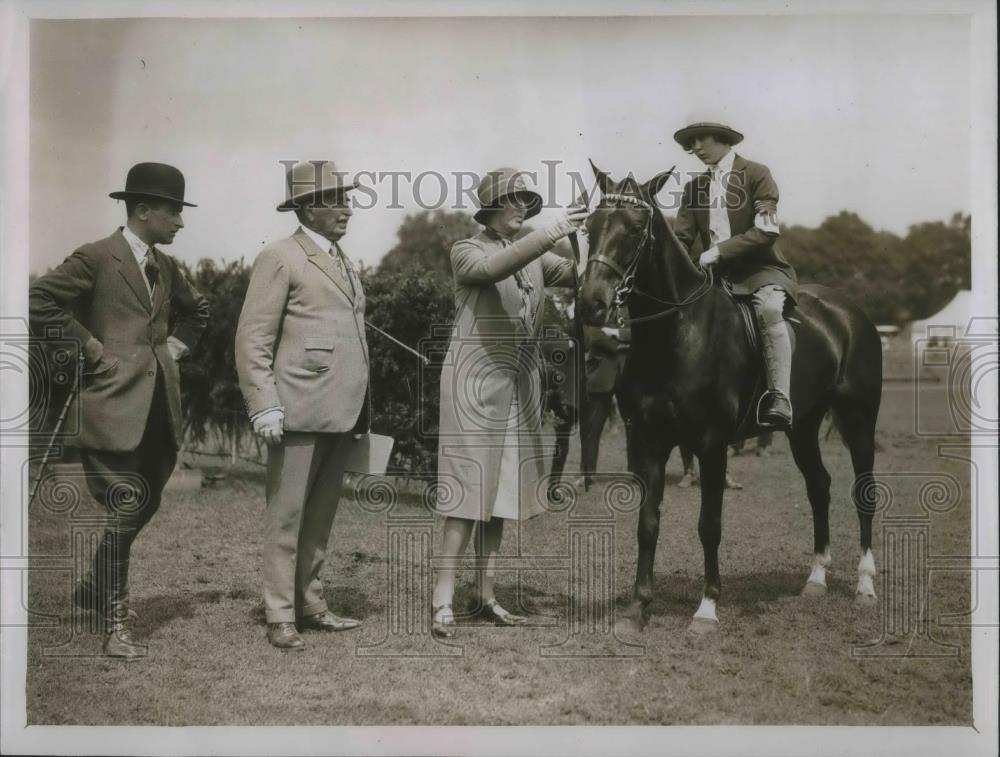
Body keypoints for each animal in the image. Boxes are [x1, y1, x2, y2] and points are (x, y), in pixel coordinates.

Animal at [580, 165, 884, 632]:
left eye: (633, 229)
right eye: (589, 227)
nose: (590, 303)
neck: (677, 333)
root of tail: (849, 312)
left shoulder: (711, 444)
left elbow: (710, 524)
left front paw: (706, 608)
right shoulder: (648, 441)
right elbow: (648, 523)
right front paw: (637, 607)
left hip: (858, 420)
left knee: (863, 493)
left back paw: (865, 586)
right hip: (803, 426)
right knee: (819, 486)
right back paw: (815, 580)